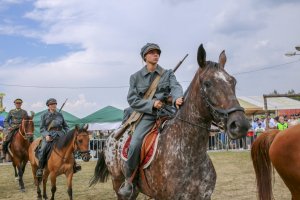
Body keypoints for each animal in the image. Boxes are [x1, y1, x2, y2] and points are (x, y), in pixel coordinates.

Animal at [90, 44, 250, 200]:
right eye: (207, 83)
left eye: (233, 81)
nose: (240, 125)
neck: (189, 153)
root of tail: (112, 136)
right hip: (118, 183)